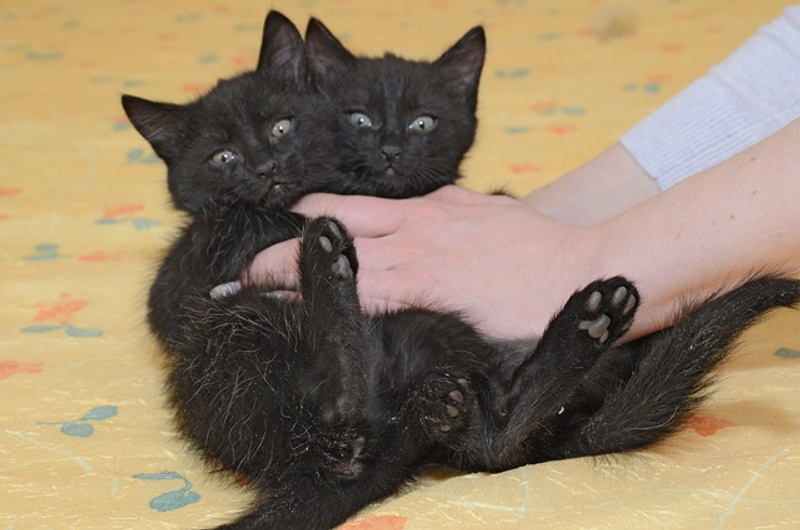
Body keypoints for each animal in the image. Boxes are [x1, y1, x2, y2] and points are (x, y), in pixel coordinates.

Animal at [122, 10, 800, 530]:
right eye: (223, 156)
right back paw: (332, 277)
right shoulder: (188, 281)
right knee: (351, 423)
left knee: (482, 442)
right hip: (229, 334)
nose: (265, 168)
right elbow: (192, 267)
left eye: (282, 126)